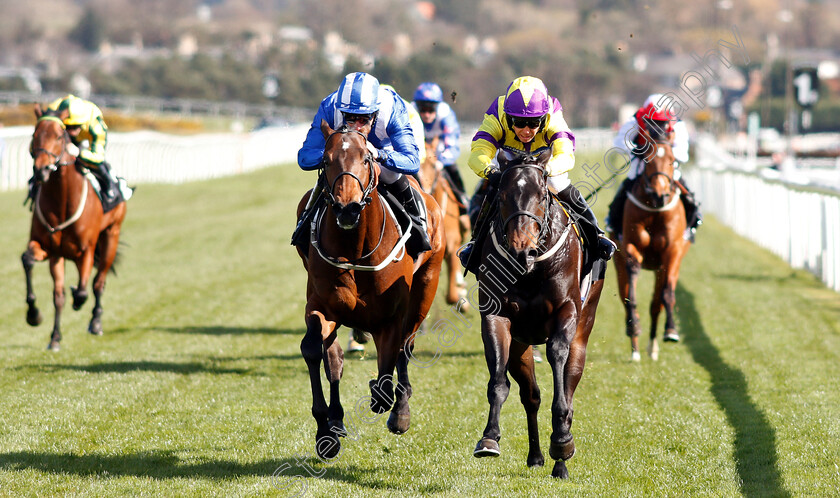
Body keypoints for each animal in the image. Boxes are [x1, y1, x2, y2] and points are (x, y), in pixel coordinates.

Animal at [22, 104, 127, 350]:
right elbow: (30, 263)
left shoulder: (86, 251)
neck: (62, 201)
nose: (41, 170)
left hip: (111, 236)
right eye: (34, 134)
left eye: (59, 136)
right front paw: (36, 318)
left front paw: (78, 303)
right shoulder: (49, 250)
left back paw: (95, 322)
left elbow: (81, 291)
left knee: (98, 283)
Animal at [296, 119, 446, 460]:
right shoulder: (322, 306)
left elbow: (387, 377)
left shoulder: (390, 318)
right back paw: (337, 420)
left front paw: (391, 403)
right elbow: (314, 350)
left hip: (425, 289)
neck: (354, 249)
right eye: (326, 161)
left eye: (367, 159)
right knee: (334, 357)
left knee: (407, 345)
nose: (347, 209)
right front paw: (326, 429)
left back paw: (400, 411)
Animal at [472, 148, 604, 478]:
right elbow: (498, 383)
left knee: (569, 381)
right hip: (521, 344)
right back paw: (535, 456)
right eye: (502, 195)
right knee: (530, 396)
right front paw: (489, 438)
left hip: (584, 326)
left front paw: (562, 439)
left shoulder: (566, 311)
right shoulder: (496, 316)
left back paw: (561, 458)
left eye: (542, 196)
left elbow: (558, 357)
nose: (523, 250)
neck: (530, 271)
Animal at [612, 140, 688, 362]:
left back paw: (652, 346)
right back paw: (635, 348)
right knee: (625, 296)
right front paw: (634, 325)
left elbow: (667, 295)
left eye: (672, 160)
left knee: (656, 305)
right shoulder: (631, 247)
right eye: (647, 159)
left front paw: (671, 330)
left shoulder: (672, 253)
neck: (654, 211)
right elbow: (631, 293)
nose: (659, 194)